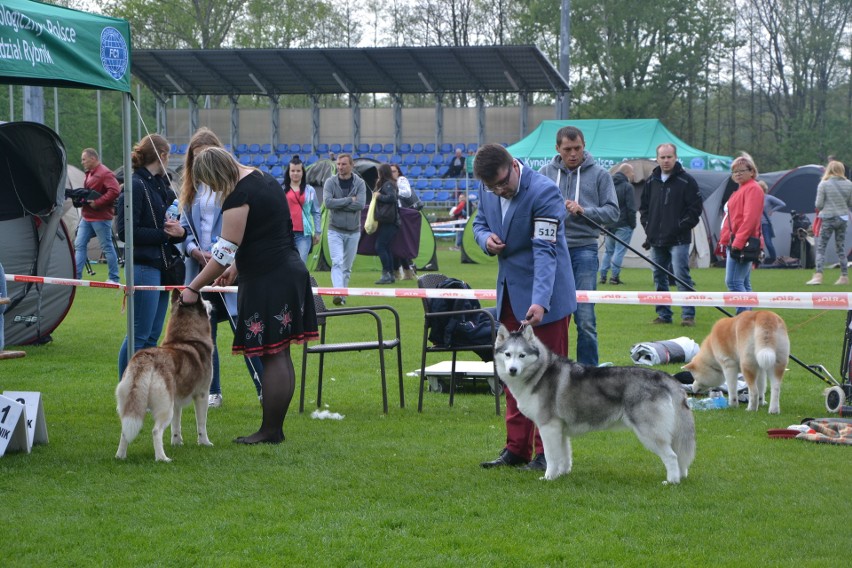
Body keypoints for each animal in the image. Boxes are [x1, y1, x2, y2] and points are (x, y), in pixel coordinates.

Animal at [115, 288, 215, 462]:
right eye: (202, 300)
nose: (211, 302)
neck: (186, 338)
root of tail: (145, 359)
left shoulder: (176, 401)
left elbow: (176, 425)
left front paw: (177, 442)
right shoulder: (202, 394)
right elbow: (202, 423)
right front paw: (205, 442)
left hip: (130, 403)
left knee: (125, 430)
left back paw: (120, 456)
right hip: (165, 407)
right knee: (156, 431)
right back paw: (162, 458)